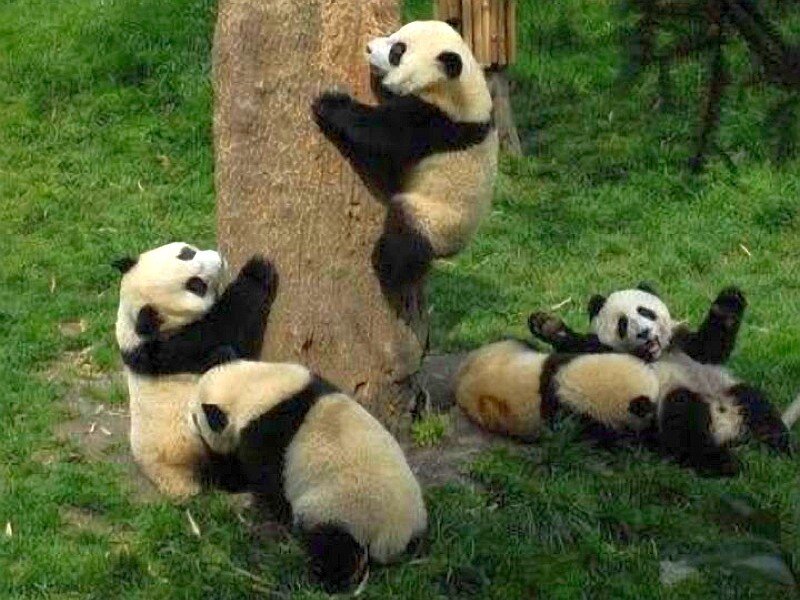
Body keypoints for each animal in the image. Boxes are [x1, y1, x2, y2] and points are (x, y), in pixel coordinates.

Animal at [114, 242, 278, 498]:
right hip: (201, 437)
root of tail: (172, 478)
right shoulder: (175, 349)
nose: (219, 260)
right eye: (196, 286)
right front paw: (256, 271)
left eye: (186, 253)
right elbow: (226, 324)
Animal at [188, 360, 427, 593]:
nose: (187, 417)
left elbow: (260, 478)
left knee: (334, 548)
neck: (258, 387)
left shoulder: (265, 436)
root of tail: (394, 535)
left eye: (196, 416)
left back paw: (320, 580)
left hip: (341, 509)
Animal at [312, 20, 498, 290]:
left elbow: (383, 132)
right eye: (394, 34)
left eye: (397, 52)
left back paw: (388, 267)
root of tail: (452, 250)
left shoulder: (439, 123)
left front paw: (331, 104)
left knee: (404, 239)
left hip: (434, 218)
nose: (368, 48)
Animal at [528, 285, 792, 475]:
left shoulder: (681, 343)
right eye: (623, 323)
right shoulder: (612, 361)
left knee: (755, 403)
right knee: (683, 417)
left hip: (727, 390)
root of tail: (726, 428)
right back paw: (722, 463)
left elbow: (709, 349)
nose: (644, 333)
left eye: (645, 311)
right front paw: (548, 327)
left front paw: (727, 305)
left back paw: (778, 447)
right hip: (674, 412)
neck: (657, 355)